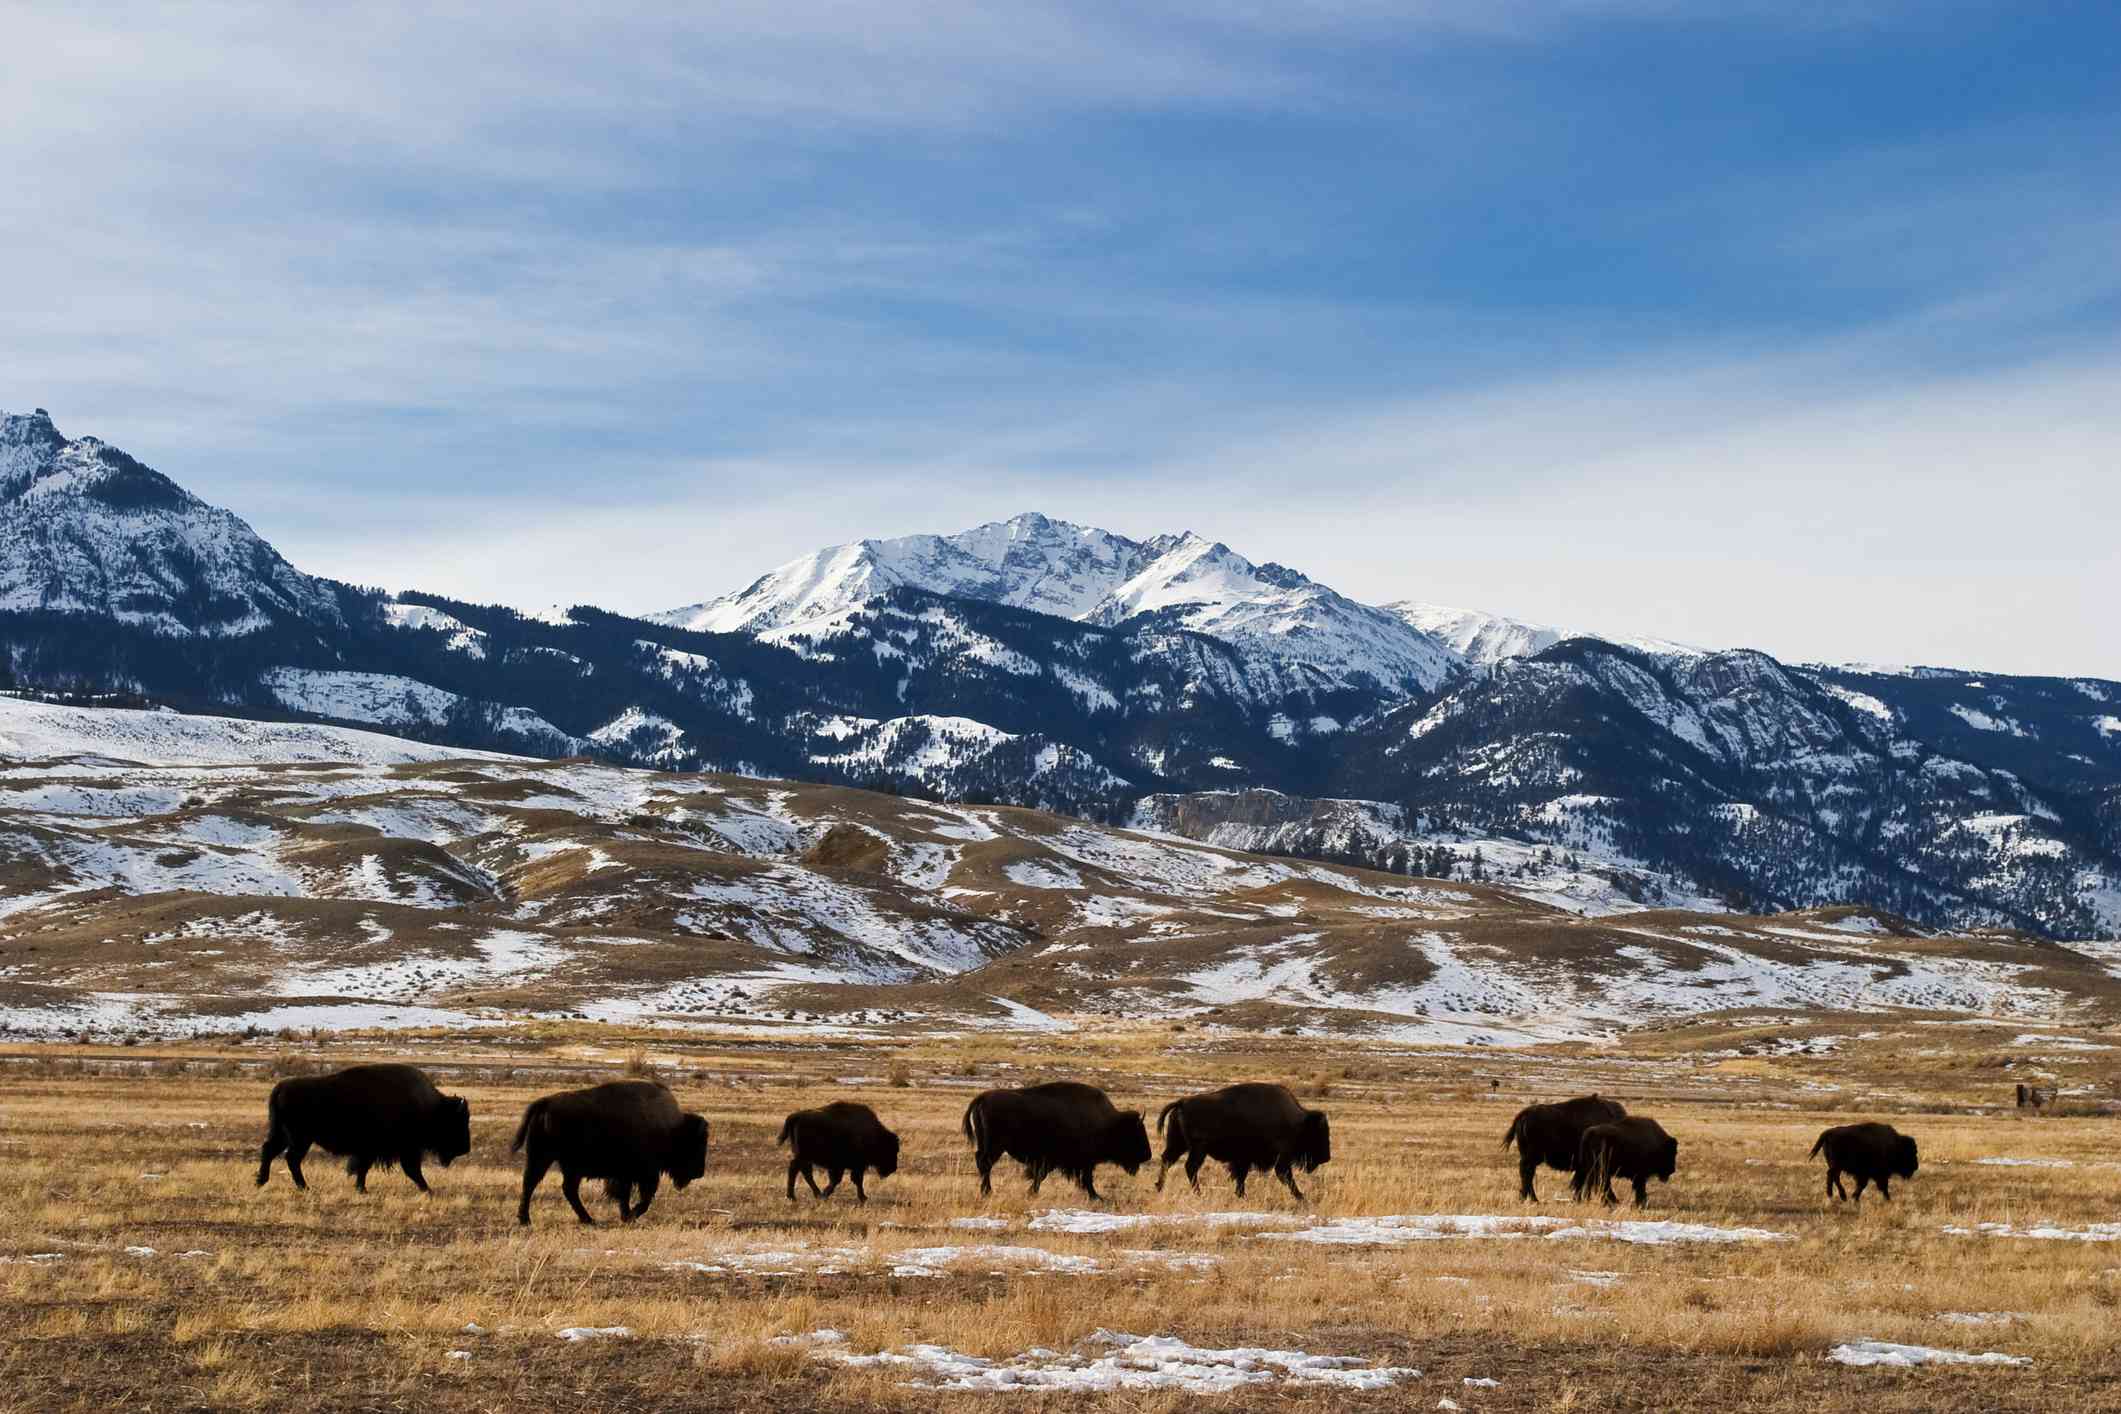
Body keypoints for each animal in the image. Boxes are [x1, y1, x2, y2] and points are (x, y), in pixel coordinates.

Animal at [254, 1059, 470, 1195]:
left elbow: (363, 1168)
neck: (429, 1107)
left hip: (284, 1135)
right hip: (300, 1138)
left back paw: (262, 1181)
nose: (465, 1149)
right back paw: (304, 1187)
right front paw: (428, 1189)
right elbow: (410, 1169)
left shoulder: (373, 1150)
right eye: (457, 1122)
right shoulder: (399, 1149)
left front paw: (361, 1188)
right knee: (291, 1158)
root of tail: (281, 1087)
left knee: (270, 1151)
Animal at [509, 1085, 708, 1229]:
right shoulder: (644, 1174)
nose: (700, 1172)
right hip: (546, 1159)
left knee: (556, 1187)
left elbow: (625, 1196)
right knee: (535, 1185)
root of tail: (545, 1102)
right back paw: (528, 1220)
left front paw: (626, 1215)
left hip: (560, 1164)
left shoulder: (627, 1176)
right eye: (696, 1144)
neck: (672, 1129)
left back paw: (586, 1219)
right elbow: (642, 1199)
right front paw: (630, 1216)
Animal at [967, 1085, 1153, 1204]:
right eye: (1135, 1133)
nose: (1147, 1155)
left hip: (988, 1145)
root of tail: (982, 1098)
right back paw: (987, 1192)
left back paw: (986, 1191)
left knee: (981, 1162)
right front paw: (1097, 1197)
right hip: (995, 1147)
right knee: (985, 1164)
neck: (1108, 1123)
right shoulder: (1081, 1161)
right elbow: (1085, 1179)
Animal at [1153, 1093, 1331, 1204]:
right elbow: (1285, 1176)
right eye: (1317, 1133)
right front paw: (1302, 1198)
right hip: (1198, 1149)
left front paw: (1241, 1195)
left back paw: (1159, 1187)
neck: (1296, 1122)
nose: (1326, 1157)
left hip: (1179, 1145)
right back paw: (1198, 1193)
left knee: (1167, 1160)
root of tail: (1182, 1102)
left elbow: (1240, 1176)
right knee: (1190, 1167)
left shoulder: (1243, 1159)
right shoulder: (1281, 1159)